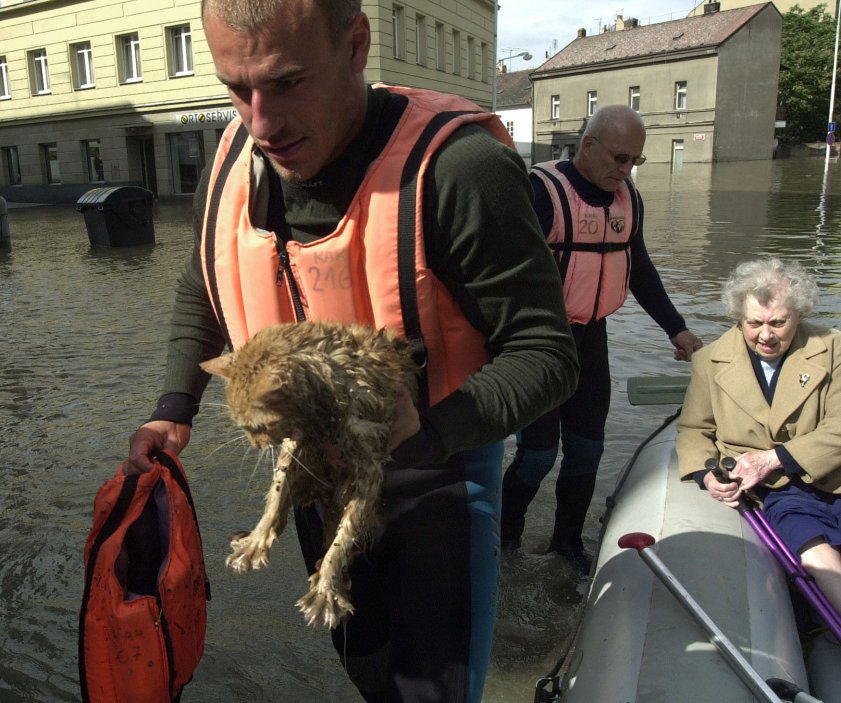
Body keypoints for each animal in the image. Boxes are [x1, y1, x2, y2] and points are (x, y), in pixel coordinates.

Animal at [200, 320, 416, 628]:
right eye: (242, 426)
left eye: (257, 427)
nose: (254, 445)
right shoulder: (297, 443)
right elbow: (277, 493)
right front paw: (255, 541)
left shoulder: (370, 466)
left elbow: (343, 537)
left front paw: (327, 590)